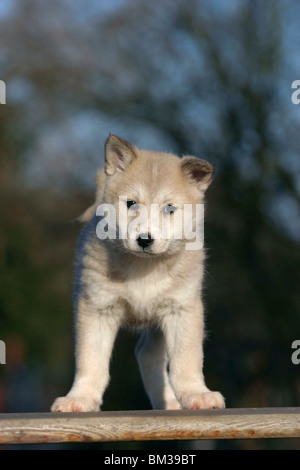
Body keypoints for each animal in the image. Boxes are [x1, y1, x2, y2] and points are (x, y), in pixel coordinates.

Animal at [51, 133, 225, 412]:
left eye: (169, 209)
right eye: (131, 203)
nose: (144, 240)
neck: (143, 269)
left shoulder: (182, 308)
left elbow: (186, 361)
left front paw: (197, 394)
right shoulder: (97, 308)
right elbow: (91, 361)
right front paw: (80, 399)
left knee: (148, 354)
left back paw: (169, 402)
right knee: (146, 354)